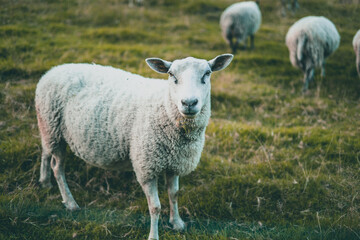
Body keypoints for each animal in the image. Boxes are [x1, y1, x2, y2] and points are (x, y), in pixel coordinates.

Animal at [34, 54, 233, 240]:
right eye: (171, 75)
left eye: (207, 73)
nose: (189, 103)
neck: (164, 107)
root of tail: (52, 71)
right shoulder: (146, 166)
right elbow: (155, 207)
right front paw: (153, 235)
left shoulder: (174, 162)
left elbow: (174, 194)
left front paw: (177, 223)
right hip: (54, 129)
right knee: (57, 167)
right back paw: (70, 202)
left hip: (48, 128)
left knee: (45, 152)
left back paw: (45, 182)